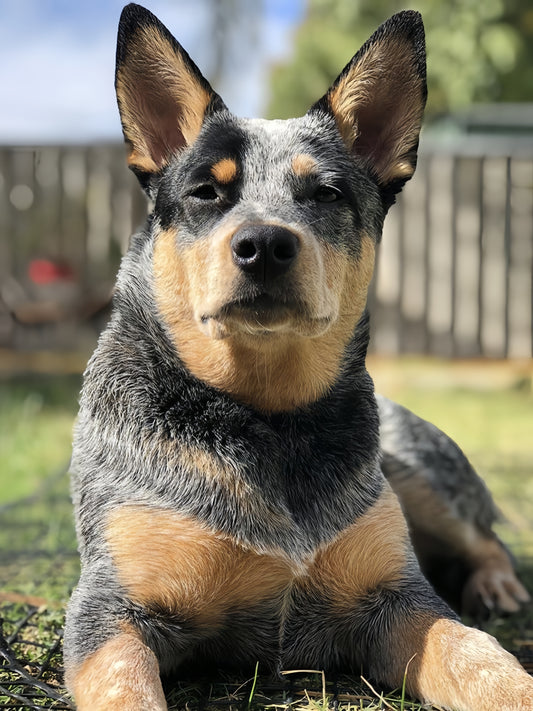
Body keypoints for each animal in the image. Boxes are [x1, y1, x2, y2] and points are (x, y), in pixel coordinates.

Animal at [63, 6, 532, 711]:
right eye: (206, 191)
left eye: (328, 193)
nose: (264, 243)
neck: (266, 418)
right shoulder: (108, 610)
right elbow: (126, 686)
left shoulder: (399, 600)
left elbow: (483, 660)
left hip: (421, 471)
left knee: (487, 535)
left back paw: (495, 583)